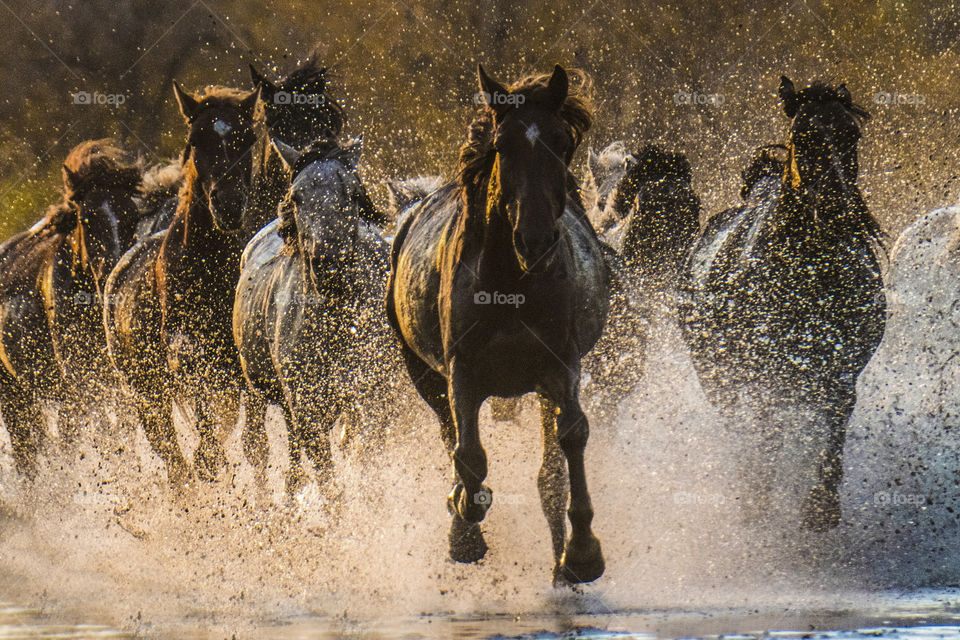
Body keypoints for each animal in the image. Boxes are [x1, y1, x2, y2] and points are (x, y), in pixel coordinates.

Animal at [0, 139, 142, 477]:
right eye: (87, 219)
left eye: (131, 216)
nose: (112, 271)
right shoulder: (82, 384)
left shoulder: (113, 384)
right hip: (12, 396)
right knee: (28, 456)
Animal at [104, 84, 260, 486]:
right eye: (196, 139)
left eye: (247, 138)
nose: (229, 204)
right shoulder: (186, 360)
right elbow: (206, 446)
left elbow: (254, 446)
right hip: (146, 396)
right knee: (174, 460)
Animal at [233, 137, 395, 493]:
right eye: (297, 196)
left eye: (352, 192)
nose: (329, 263)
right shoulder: (307, 410)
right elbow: (329, 484)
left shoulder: (372, 401)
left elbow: (368, 463)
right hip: (258, 391)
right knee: (259, 448)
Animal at [387, 64, 608, 583]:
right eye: (502, 145)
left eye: (561, 141)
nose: (536, 241)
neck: (511, 283)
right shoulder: (461, 368)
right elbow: (468, 455)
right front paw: (465, 521)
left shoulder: (560, 363)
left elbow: (572, 436)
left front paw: (582, 553)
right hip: (421, 370)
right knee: (450, 433)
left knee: (550, 467)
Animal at [679, 77, 886, 530]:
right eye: (802, 135)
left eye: (852, 134)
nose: (838, 210)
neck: (806, 269)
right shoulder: (762, 367)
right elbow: (765, 427)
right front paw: (758, 493)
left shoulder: (840, 364)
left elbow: (836, 417)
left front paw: (822, 504)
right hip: (714, 372)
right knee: (741, 420)